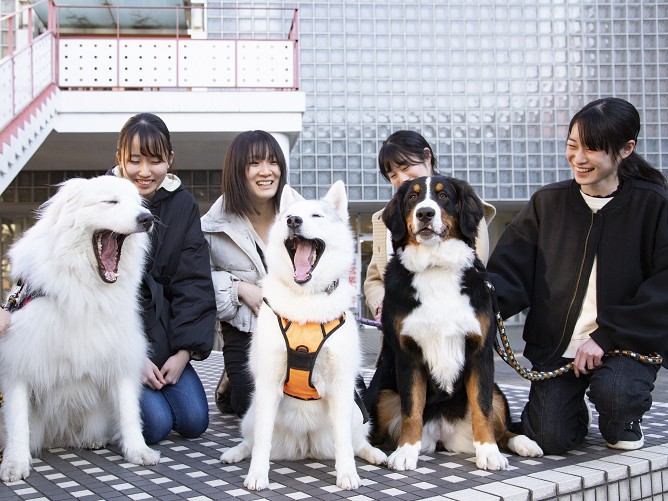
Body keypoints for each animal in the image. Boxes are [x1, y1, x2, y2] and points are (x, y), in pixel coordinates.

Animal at [0, 176, 161, 480]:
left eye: (138, 204)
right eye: (111, 201)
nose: (146, 219)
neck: (85, 288)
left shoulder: (122, 355)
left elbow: (129, 412)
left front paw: (138, 451)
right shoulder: (19, 361)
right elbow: (17, 422)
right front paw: (14, 463)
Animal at [220, 180, 386, 488]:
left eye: (316, 216)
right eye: (289, 216)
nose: (293, 221)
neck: (307, 302)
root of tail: (306, 445)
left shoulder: (342, 385)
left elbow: (344, 443)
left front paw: (347, 474)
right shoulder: (268, 383)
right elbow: (261, 442)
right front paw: (257, 475)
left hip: (357, 411)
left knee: (356, 441)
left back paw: (374, 454)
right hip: (252, 410)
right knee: (251, 440)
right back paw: (235, 453)